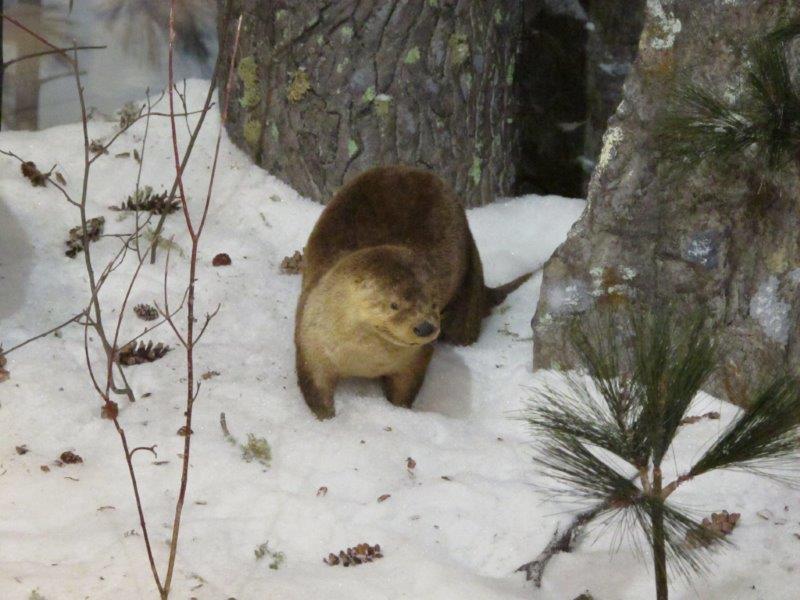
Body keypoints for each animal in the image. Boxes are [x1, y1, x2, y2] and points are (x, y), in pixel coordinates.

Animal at [294, 166, 531, 419]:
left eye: (434, 303)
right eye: (394, 304)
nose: (425, 327)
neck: (364, 359)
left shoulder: (416, 359)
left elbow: (406, 388)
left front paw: (399, 411)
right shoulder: (310, 342)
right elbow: (313, 386)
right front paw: (326, 418)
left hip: (469, 278)